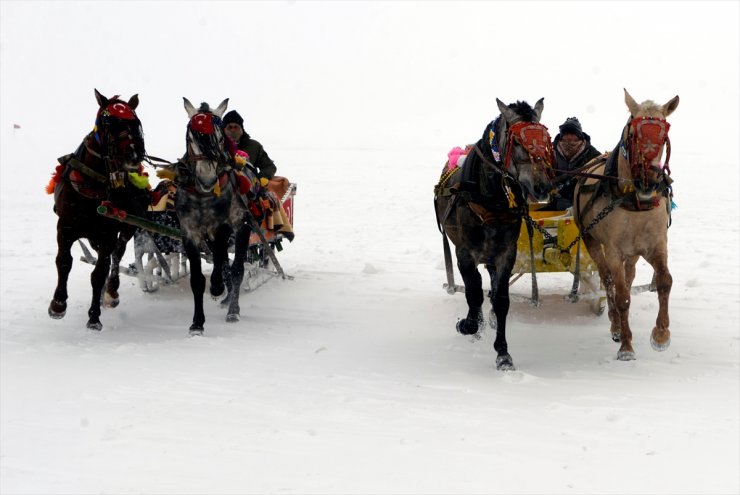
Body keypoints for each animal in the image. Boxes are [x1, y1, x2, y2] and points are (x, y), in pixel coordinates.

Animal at [47, 90, 152, 330]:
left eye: (136, 122)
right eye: (107, 121)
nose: (134, 154)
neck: (92, 184)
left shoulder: (107, 234)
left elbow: (100, 271)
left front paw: (94, 316)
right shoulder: (65, 227)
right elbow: (64, 262)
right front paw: (58, 304)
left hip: (126, 227)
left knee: (117, 254)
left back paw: (111, 290)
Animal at [173, 97, 264, 338]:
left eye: (220, 134)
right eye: (191, 134)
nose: (207, 179)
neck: (203, 195)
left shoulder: (223, 227)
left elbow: (227, 266)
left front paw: (216, 287)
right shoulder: (189, 231)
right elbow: (197, 279)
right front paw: (197, 323)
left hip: (243, 227)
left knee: (237, 269)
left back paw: (233, 309)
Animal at [434, 99, 556, 372]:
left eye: (546, 141)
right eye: (519, 142)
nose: (543, 186)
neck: (490, 200)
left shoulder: (506, 253)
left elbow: (500, 300)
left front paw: (503, 353)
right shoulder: (464, 253)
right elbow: (473, 292)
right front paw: (468, 325)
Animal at [572, 89, 684, 360]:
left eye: (664, 135)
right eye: (633, 134)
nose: (648, 181)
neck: (636, 202)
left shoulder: (656, 245)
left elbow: (665, 281)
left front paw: (661, 335)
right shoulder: (613, 250)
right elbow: (621, 295)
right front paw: (626, 345)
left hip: (633, 252)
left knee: (629, 275)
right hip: (592, 241)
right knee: (608, 280)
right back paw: (615, 324)